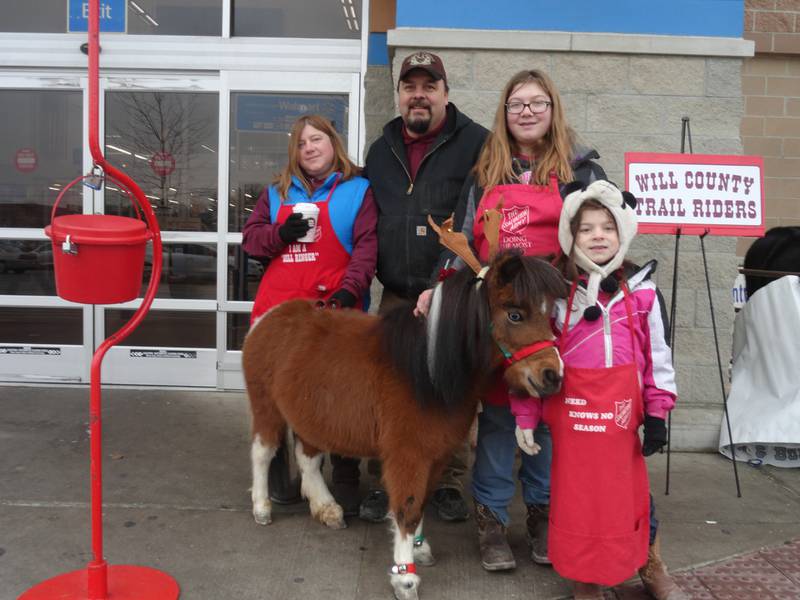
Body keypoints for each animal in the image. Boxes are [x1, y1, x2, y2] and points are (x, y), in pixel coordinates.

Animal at [241, 250, 564, 600]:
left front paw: (420, 550)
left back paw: (327, 508)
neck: (426, 372)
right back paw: (261, 507)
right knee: (262, 452)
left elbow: (420, 503)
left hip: (309, 415)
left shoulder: (436, 455)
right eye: (515, 314)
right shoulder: (408, 455)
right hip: (267, 408)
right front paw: (405, 577)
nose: (552, 376)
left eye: (549, 314)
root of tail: (268, 318)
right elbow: (407, 508)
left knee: (308, 458)